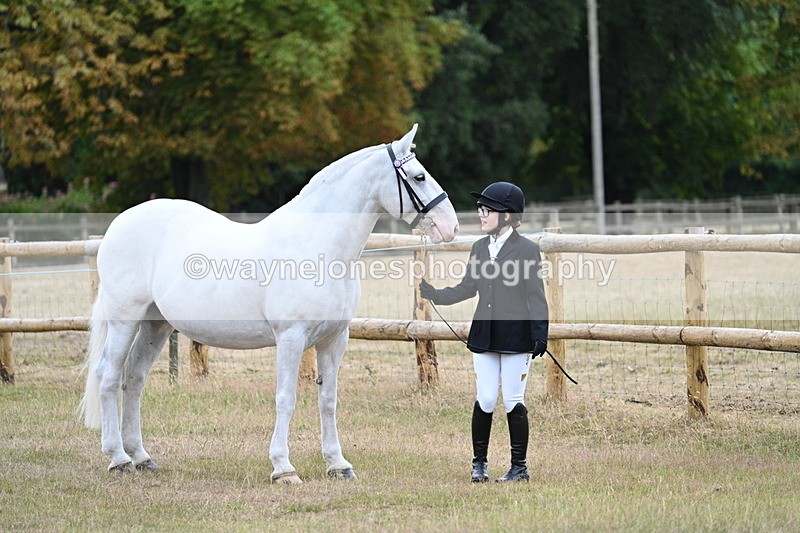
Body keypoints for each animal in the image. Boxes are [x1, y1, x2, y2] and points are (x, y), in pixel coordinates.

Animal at [78, 124, 459, 484]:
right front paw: (283, 468)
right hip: (125, 318)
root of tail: (118, 224)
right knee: (108, 376)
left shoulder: (334, 339)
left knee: (134, 379)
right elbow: (285, 398)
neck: (317, 246)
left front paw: (338, 464)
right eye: (419, 176)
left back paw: (141, 457)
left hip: (155, 324)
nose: (450, 226)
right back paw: (118, 458)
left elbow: (328, 400)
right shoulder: (290, 338)